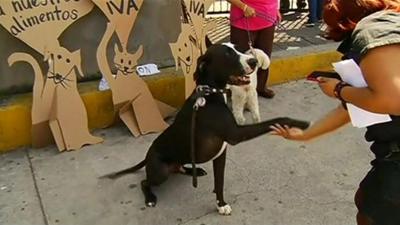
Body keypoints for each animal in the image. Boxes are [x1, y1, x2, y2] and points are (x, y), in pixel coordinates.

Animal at [104, 43, 310, 214]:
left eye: (238, 48)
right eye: (227, 54)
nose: (253, 61)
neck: (210, 95)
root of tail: (147, 156)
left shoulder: (221, 155)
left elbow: (219, 183)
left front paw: (221, 204)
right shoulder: (236, 134)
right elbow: (276, 120)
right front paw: (299, 123)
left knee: (178, 168)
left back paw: (193, 171)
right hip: (160, 171)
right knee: (144, 181)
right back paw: (150, 198)